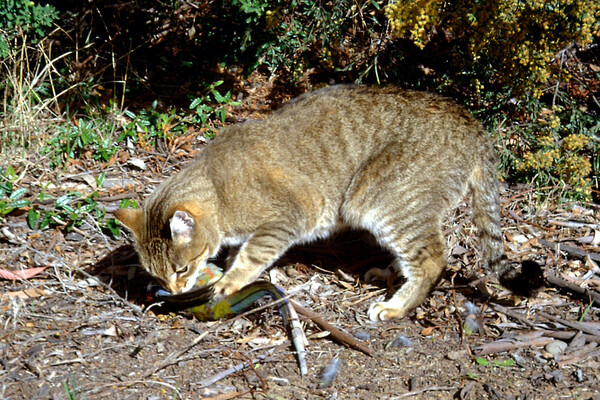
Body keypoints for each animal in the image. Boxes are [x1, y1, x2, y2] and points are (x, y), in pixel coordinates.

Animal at [115, 85, 536, 322]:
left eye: (182, 268)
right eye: (157, 275)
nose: (174, 289)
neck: (217, 189)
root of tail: (471, 123)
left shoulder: (286, 217)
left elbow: (251, 255)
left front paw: (230, 280)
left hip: (379, 200)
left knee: (433, 258)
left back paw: (397, 306)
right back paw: (388, 274)